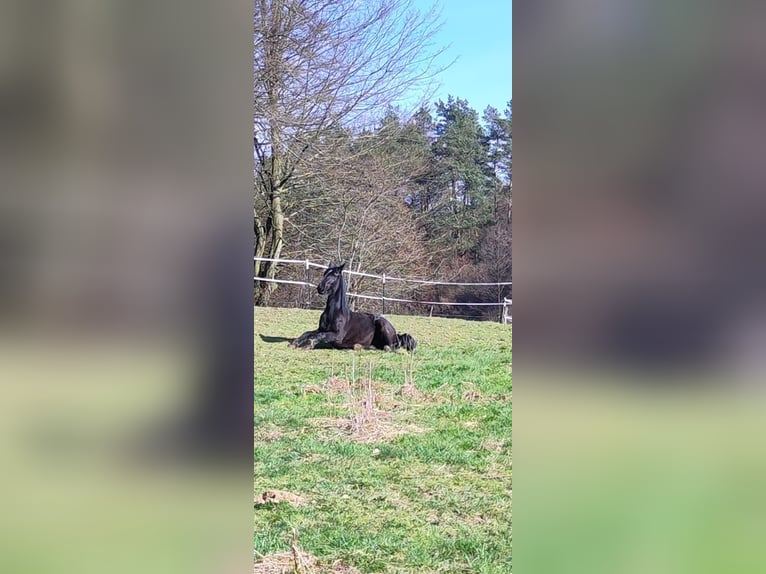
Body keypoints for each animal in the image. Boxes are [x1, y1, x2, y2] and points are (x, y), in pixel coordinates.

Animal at [290, 264, 420, 354]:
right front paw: (294, 343)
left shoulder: (337, 336)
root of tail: (396, 335)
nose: (320, 288)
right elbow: (308, 333)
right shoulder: (321, 329)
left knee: (390, 347)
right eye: (325, 273)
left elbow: (318, 336)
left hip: (383, 326)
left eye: (335, 274)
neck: (335, 313)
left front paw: (308, 346)